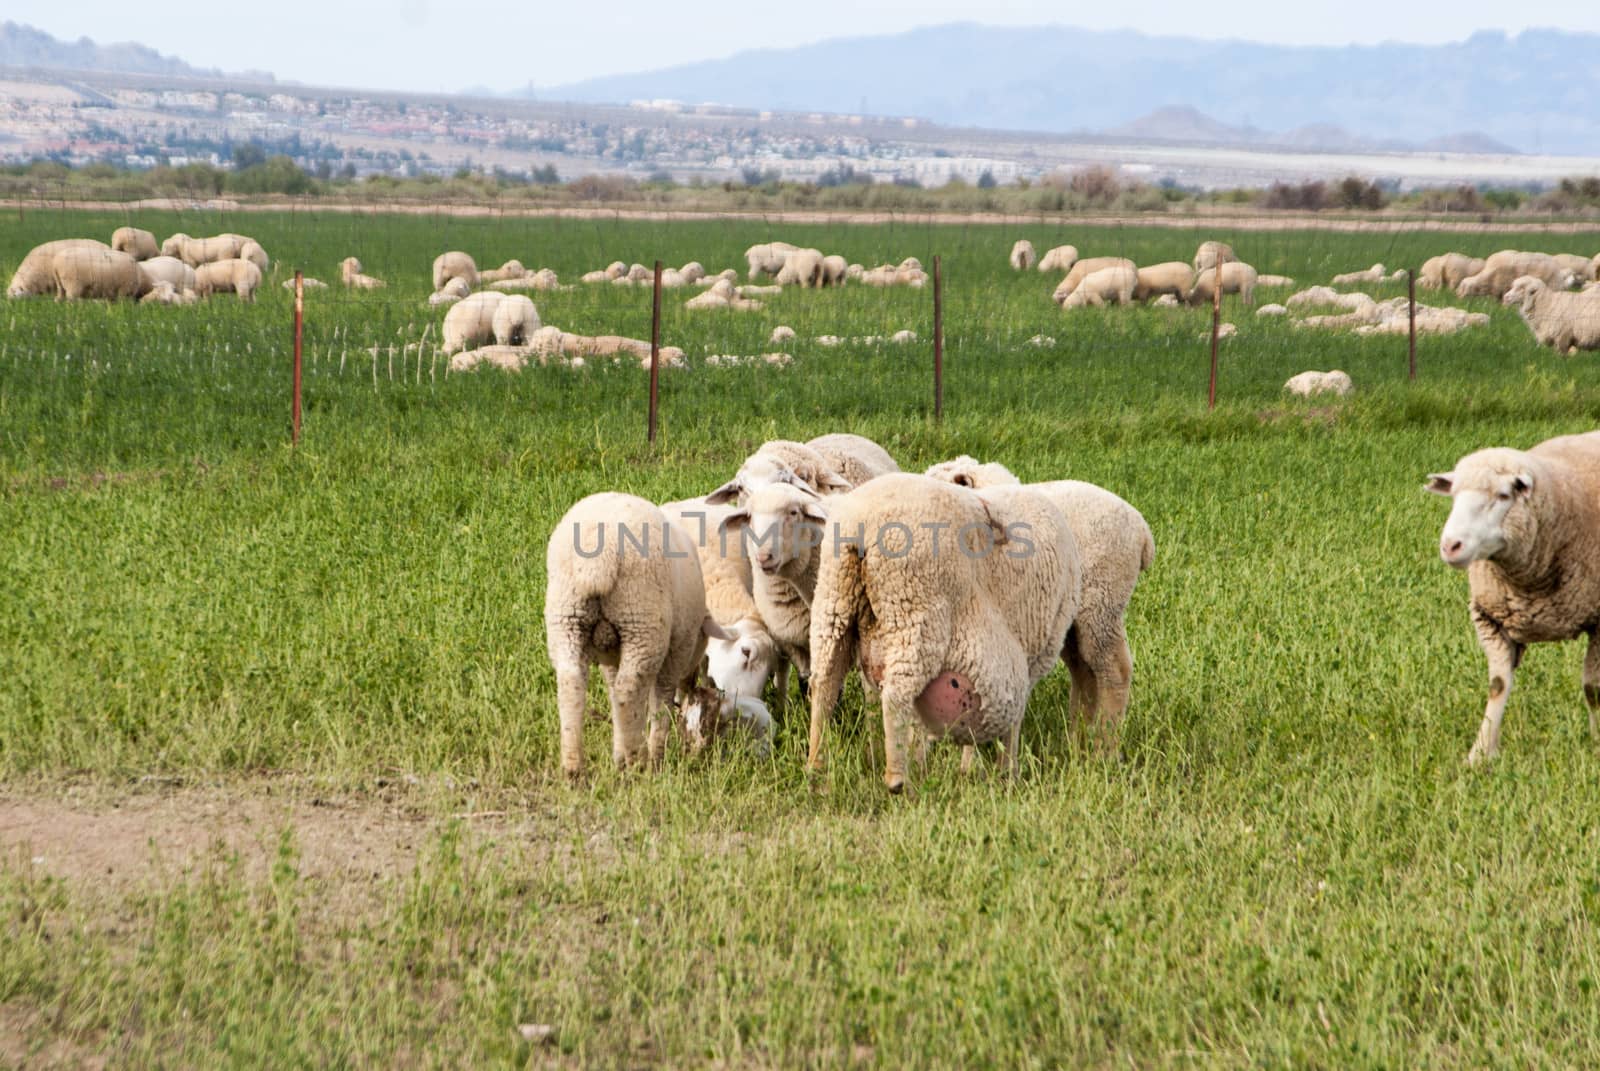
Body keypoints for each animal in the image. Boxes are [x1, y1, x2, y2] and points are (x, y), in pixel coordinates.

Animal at [547, 493, 729, 778]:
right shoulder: (677, 649)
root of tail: (597, 560)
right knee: (629, 688)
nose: (691, 685)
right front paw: (656, 755)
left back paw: (574, 767)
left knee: (571, 682)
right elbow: (661, 700)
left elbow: (613, 696)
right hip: (641, 621)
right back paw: (638, 761)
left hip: (566, 617)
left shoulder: (610, 655)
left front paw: (618, 753)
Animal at [806, 470, 1081, 790]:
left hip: (835, 600)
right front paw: (1005, 772)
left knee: (824, 683)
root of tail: (862, 525)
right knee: (896, 695)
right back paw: (898, 779)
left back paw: (816, 766)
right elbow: (1012, 720)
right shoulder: (1033, 653)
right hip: (916, 613)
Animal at [921, 454, 1158, 749]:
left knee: (1114, 670)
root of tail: (1143, 532)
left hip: (1102, 602)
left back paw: (1104, 745)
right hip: (1073, 617)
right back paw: (1077, 742)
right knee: (1085, 672)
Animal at [1433, 429, 1600, 765]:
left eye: (1502, 496)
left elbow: (1592, 688)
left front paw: (1597, 741)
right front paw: (1481, 753)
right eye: (1454, 496)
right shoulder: (1490, 620)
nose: (1450, 546)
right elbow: (1498, 686)